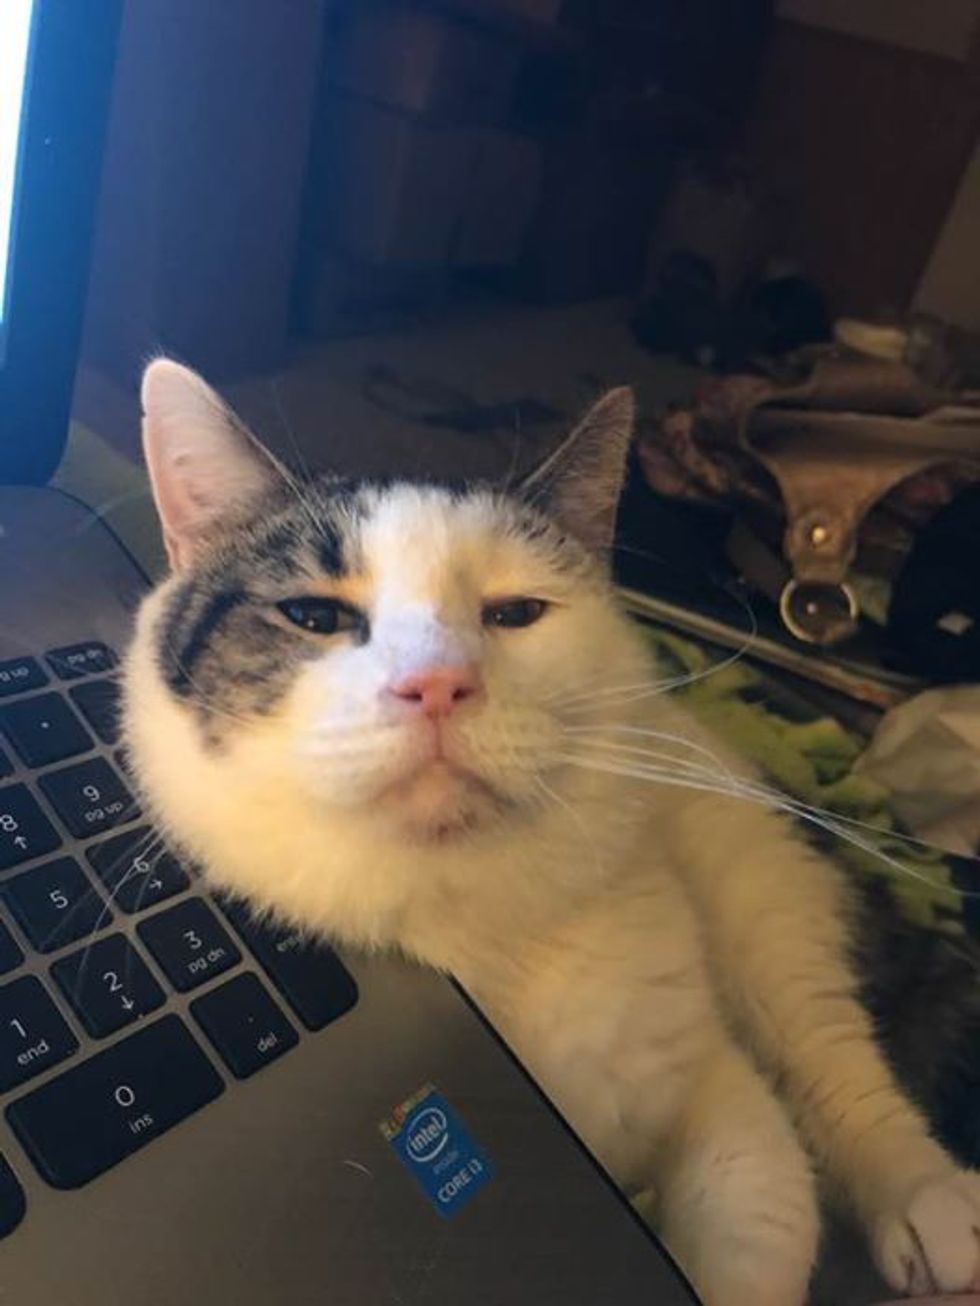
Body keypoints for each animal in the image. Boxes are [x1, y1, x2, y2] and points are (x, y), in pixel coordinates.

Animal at [123, 358, 980, 1306]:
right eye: (313, 617)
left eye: (516, 612)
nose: (437, 684)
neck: (461, 911)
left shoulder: (723, 1096)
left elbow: (756, 1222)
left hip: (755, 887)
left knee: (829, 1051)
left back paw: (930, 1197)